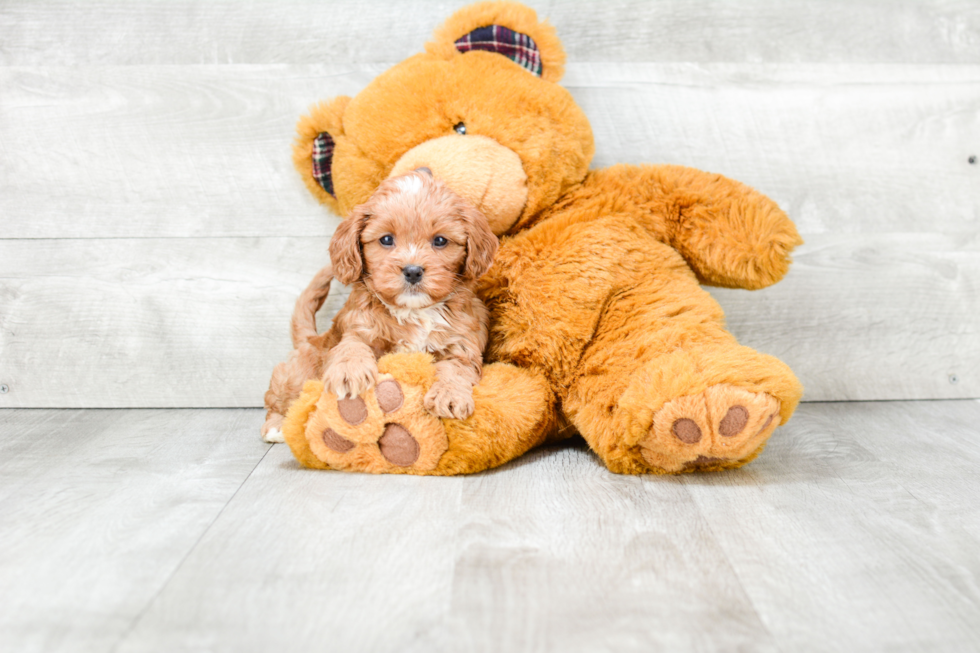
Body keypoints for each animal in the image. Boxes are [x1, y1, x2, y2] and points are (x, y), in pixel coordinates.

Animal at [262, 168, 498, 444]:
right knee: (276, 398)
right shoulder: (359, 328)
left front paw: (449, 395)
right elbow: (351, 347)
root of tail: (309, 339)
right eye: (386, 239)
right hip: (295, 376)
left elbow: (456, 369)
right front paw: (349, 372)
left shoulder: (462, 344)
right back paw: (276, 426)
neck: (414, 311)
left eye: (440, 241)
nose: (413, 271)